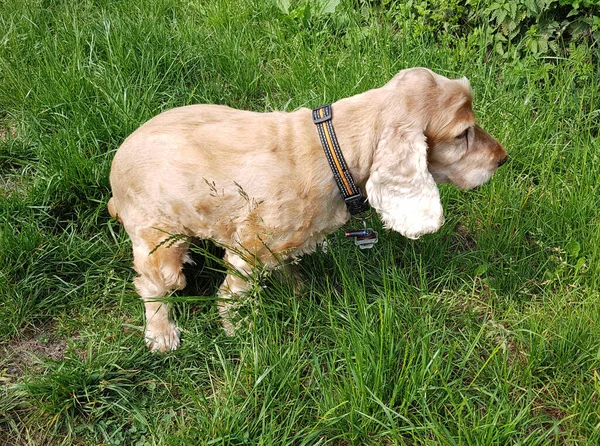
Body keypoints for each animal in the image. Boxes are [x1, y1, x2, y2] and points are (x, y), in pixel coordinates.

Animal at [108, 67, 506, 352]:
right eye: (463, 134)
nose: (503, 158)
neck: (335, 148)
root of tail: (114, 179)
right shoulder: (247, 251)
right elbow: (232, 298)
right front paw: (238, 329)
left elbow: (289, 267)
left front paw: (297, 290)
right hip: (159, 242)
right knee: (151, 286)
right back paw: (162, 334)